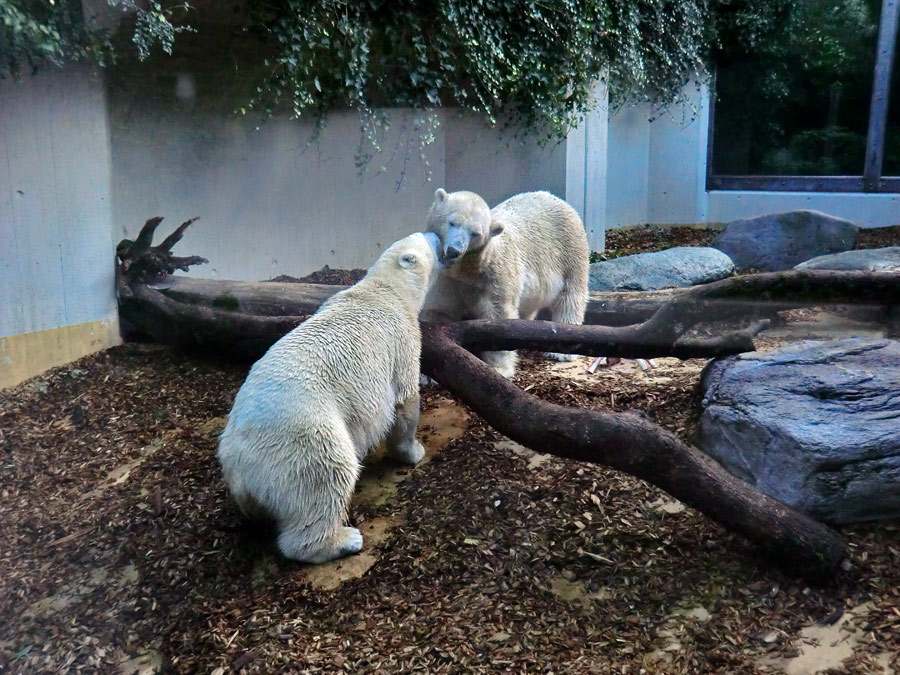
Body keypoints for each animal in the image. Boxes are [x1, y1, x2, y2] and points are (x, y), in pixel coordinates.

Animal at [218, 232, 442, 564]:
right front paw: (413, 451)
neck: (382, 288)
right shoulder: (400, 338)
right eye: (429, 240)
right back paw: (342, 539)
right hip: (303, 440)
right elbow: (404, 399)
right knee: (327, 476)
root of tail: (237, 460)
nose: (439, 237)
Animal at [422, 190, 592, 378]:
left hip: (570, 252)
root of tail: (556, 198)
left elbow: (498, 318)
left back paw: (562, 350)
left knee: (570, 296)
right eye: (452, 222)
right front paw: (426, 374)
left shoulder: (496, 277)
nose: (454, 251)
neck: (468, 270)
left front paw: (500, 368)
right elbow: (439, 310)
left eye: (475, 233)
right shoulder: (446, 278)